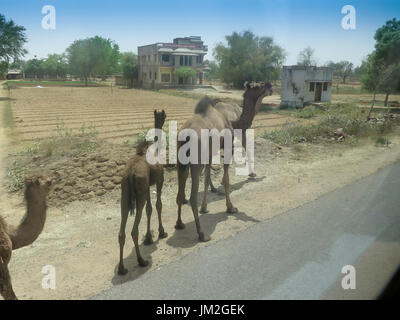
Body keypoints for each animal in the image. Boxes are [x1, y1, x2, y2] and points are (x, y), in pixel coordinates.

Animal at [175, 81, 272, 241]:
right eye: (257, 86)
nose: (270, 86)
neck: (233, 122)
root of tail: (185, 135)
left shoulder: (209, 152)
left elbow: (207, 178)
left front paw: (205, 207)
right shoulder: (228, 147)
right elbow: (226, 179)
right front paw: (231, 207)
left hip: (180, 162)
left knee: (180, 195)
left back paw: (179, 224)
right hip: (195, 162)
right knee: (192, 196)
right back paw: (202, 234)